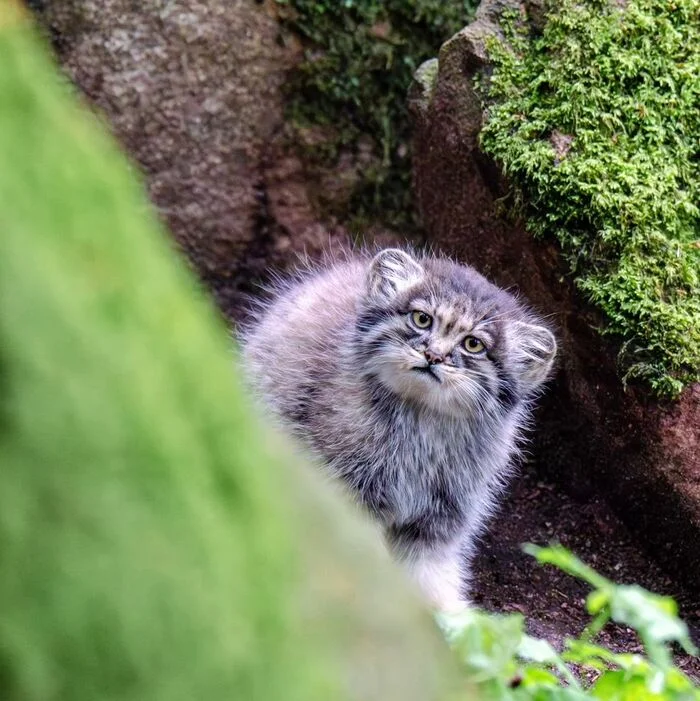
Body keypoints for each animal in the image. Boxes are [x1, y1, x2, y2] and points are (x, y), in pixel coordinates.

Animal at [242, 249, 556, 608]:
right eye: (421, 319)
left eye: (473, 344)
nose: (433, 355)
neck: (423, 424)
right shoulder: (349, 492)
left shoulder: (438, 519)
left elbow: (432, 580)